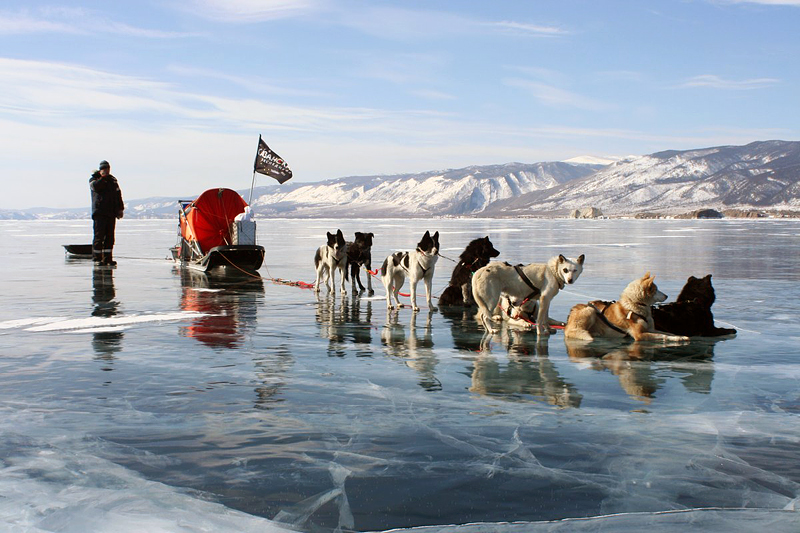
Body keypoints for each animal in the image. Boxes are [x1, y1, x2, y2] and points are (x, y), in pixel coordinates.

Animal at [564, 272, 692, 342]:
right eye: (656, 290)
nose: (667, 295)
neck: (636, 306)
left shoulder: (651, 329)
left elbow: (668, 333)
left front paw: (681, 337)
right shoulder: (640, 335)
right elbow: (663, 336)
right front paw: (677, 339)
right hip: (590, 310)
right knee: (574, 332)